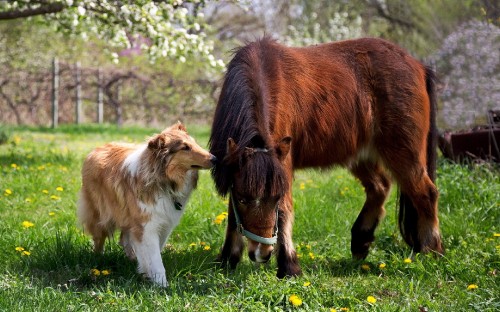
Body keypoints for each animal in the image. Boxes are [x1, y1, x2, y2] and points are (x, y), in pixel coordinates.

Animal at [77, 122, 215, 288]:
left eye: (194, 143)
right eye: (185, 147)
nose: (215, 158)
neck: (164, 180)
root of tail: (96, 148)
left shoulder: (163, 224)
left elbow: (152, 251)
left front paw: (145, 272)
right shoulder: (147, 225)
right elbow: (155, 258)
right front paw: (162, 285)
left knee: (124, 239)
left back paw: (132, 259)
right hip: (99, 213)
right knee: (99, 238)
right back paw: (98, 259)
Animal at [209, 36, 444, 278]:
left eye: (274, 198)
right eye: (243, 199)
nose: (262, 254)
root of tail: (419, 66)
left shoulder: (283, 165)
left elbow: (284, 211)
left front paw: (289, 266)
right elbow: (233, 215)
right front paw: (227, 259)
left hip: (403, 153)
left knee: (426, 193)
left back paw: (431, 251)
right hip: (361, 155)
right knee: (380, 186)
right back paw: (361, 241)